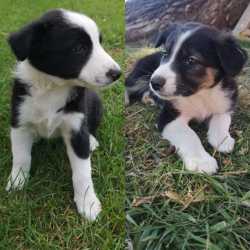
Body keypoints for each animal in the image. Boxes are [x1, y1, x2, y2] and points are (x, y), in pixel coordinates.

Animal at [6, 9, 121, 221]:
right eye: (79, 48)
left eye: (99, 43)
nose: (117, 73)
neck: (52, 86)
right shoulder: (19, 121)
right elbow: (20, 157)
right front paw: (17, 181)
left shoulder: (76, 127)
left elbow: (83, 171)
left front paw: (88, 203)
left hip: (96, 105)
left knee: (92, 127)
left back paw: (92, 141)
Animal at [126, 22, 247, 175]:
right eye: (165, 54)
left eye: (191, 60)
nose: (154, 83)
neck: (200, 94)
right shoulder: (169, 117)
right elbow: (189, 135)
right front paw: (202, 161)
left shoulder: (225, 101)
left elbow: (221, 120)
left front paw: (222, 139)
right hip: (138, 75)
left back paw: (149, 98)